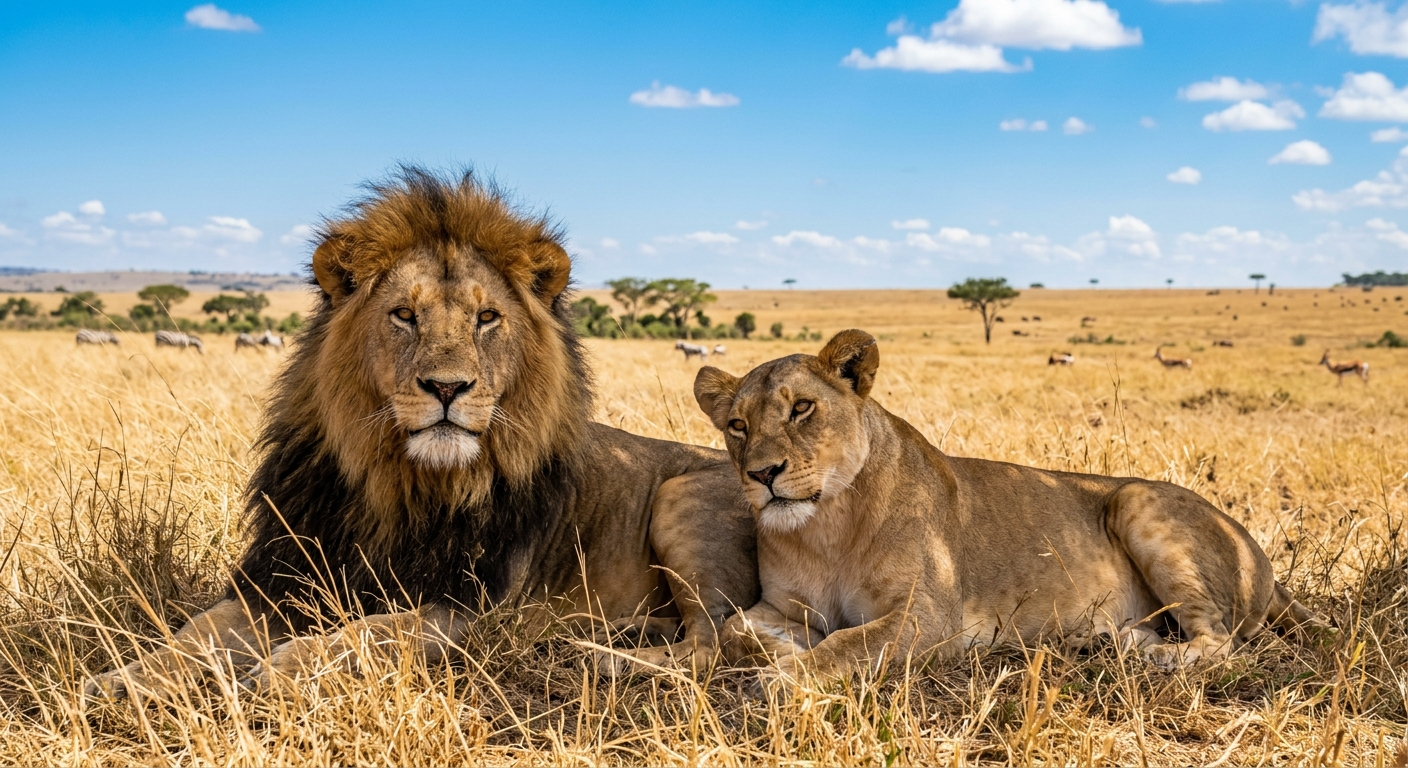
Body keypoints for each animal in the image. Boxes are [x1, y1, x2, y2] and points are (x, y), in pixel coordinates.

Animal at [84, 166, 757, 699]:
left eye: (487, 318)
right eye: (404, 315)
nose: (447, 388)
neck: (401, 484)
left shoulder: (470, 609)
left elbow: (367, 632)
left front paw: (282, 668)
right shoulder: (278, 580)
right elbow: (192, 633)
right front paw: (120, 679)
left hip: (680, 498)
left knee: (711, 643)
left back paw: (601, 655)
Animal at [692, 329, 1324, 683]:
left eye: (801, 408)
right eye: (737, 426)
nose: (762, 474)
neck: (825, 526)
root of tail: (1262, 560)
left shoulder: (928, 619)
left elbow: (849, 643)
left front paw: (785, 676)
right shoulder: (785, 605)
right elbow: (734, 629)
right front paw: (778, 649)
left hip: (1136, 498)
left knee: (1225, 645)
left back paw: (1154, 658)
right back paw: (1110, 642)